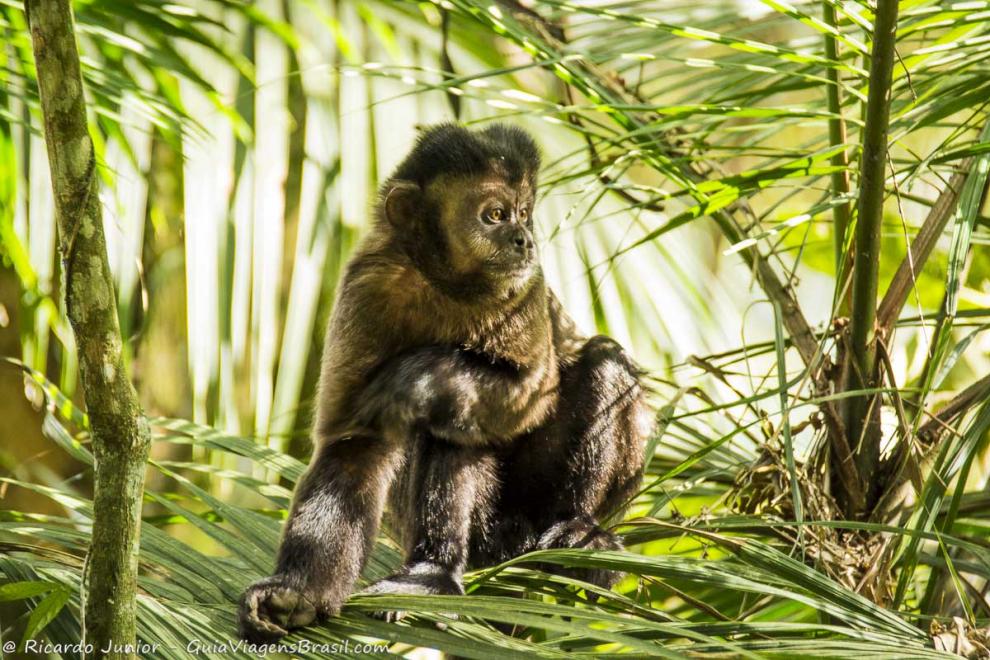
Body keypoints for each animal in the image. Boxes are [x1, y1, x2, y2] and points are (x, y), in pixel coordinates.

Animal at [239, 121, 656, 640]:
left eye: (524, 214)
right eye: (495, 215)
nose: (524, 239)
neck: (444, 283)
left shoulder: (525, 287)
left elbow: (532, 392)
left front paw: (421, 374)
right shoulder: (366, 286)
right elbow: (356, 444)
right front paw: (296, 593)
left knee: (597, 362)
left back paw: (572, 529)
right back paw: (436, 570)